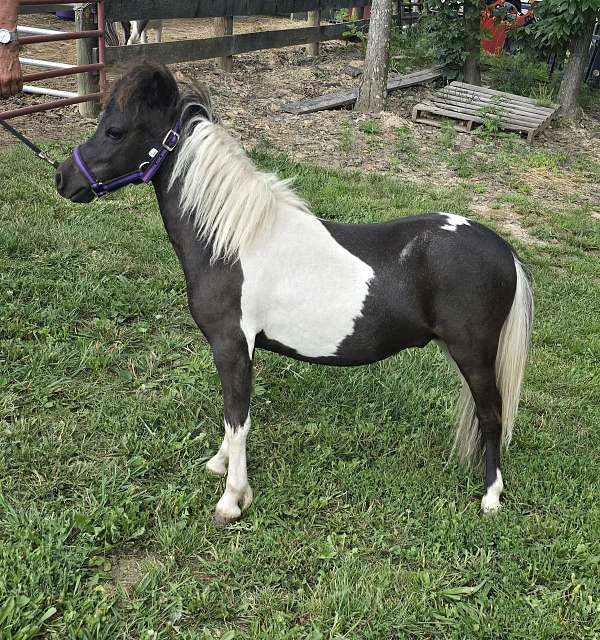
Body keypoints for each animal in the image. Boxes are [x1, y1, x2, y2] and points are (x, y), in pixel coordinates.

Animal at [54, 63, 533, 525]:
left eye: (115, 131)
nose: (63, 177)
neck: (233, 242)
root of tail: (503, 249)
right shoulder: (242, 349)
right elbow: (233, 417)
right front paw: (219, 465)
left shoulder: (231, 345)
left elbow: (238, 419)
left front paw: (232, 499)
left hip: (473, 353)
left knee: (492, 415)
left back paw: (491, 497)